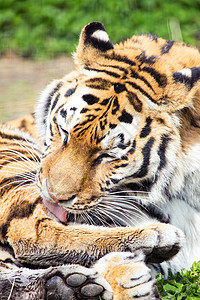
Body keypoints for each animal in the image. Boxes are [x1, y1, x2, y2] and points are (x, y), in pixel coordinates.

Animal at [0, 19, 199, 298]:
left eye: (108, 155)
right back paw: (154, 241)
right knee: (32, 234)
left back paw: (68, 286)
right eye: (64, 131)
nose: (54, 197)